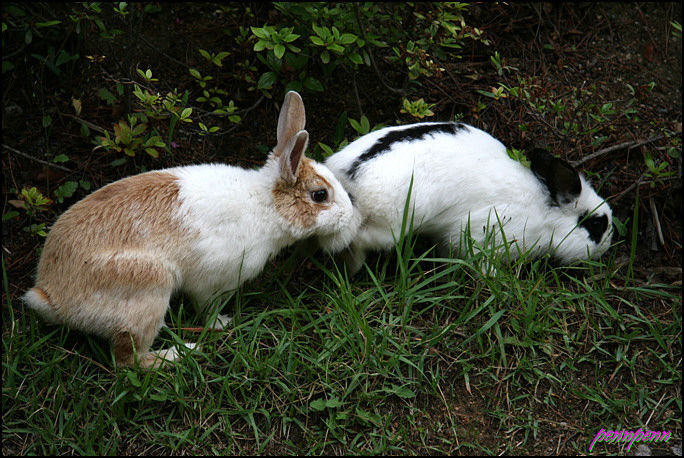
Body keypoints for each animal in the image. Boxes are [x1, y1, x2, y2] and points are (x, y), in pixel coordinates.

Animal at [22, 92, 356, 368]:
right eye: (320, 195)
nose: (351, 216)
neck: (267, 205)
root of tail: (52, 297)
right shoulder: (211, 283)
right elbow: (207, 308)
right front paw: (222, 323)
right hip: (150, 288)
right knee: (128, 360)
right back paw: (181, 353)